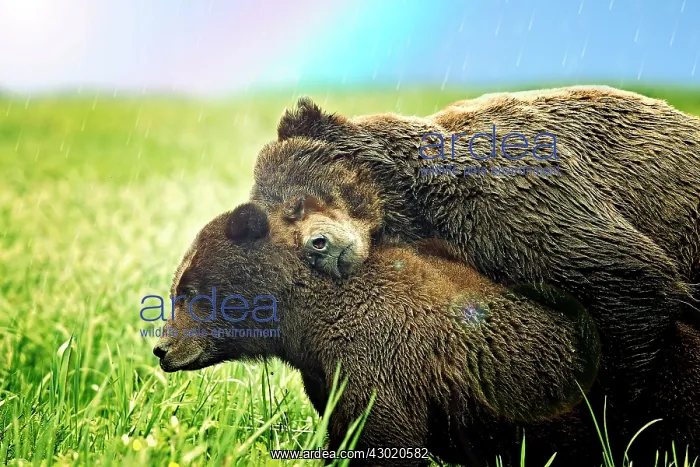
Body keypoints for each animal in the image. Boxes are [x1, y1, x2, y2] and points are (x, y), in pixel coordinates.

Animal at [152, 203, 697, 466]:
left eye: (190, 290)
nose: (161, 349)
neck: (306, 324)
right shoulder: (328, 375)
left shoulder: (381, 361)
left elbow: (384, 438)